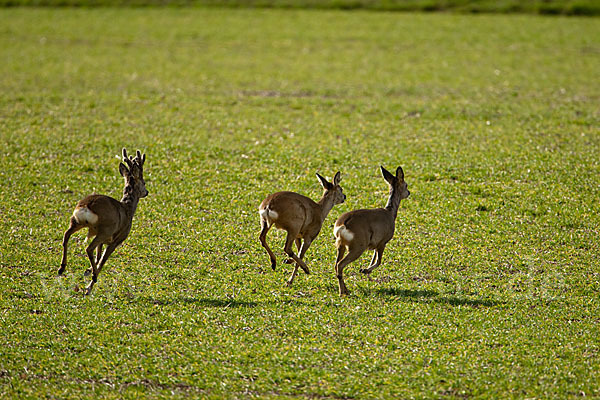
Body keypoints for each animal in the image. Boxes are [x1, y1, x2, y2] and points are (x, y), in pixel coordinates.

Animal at [58, 148, 148, 296]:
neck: (128, 208)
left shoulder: (104, 241)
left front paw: (88, 270)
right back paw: (94, 277)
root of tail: (87, 205)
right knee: (88, 248)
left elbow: (98, 256)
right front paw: (89, 286)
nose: (146, 192)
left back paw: (62, 268)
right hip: (105, 229)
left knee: (66, 235)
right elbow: (102, 260)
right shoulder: (116, 240)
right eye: (144, 182)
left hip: (77, 221)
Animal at [330, 164, 410, 296]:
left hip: (341, 245)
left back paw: (345, 289)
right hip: (358, 245)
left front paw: (365, 270)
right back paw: (343, 292)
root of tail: (341, 225)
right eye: (406, 185)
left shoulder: (375, 243)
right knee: (340, 264)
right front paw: (365, 270)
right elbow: (378, 260)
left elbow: (373, 257)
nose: (408, 192)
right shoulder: (383, 241)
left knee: (336, 265)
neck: (390, 212)